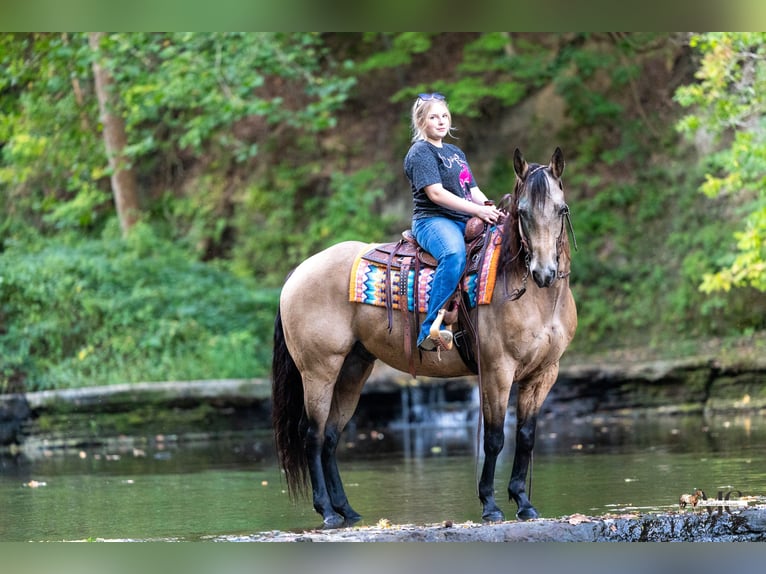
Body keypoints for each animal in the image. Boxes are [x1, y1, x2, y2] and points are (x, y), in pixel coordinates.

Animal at [271, 147, 577, 528]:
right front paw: (490, 505)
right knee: (311, 434)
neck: (533, 294)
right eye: (522, 212)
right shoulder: (497, 370)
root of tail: (298, 272)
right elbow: (494, 438)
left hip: (353, 368)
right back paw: (327, 511)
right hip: (318, 370)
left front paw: (523, 501)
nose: (544, 272)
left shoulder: (544, 373)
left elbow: (526, 435)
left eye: (561, 209)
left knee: (330, 436)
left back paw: (347, 510)